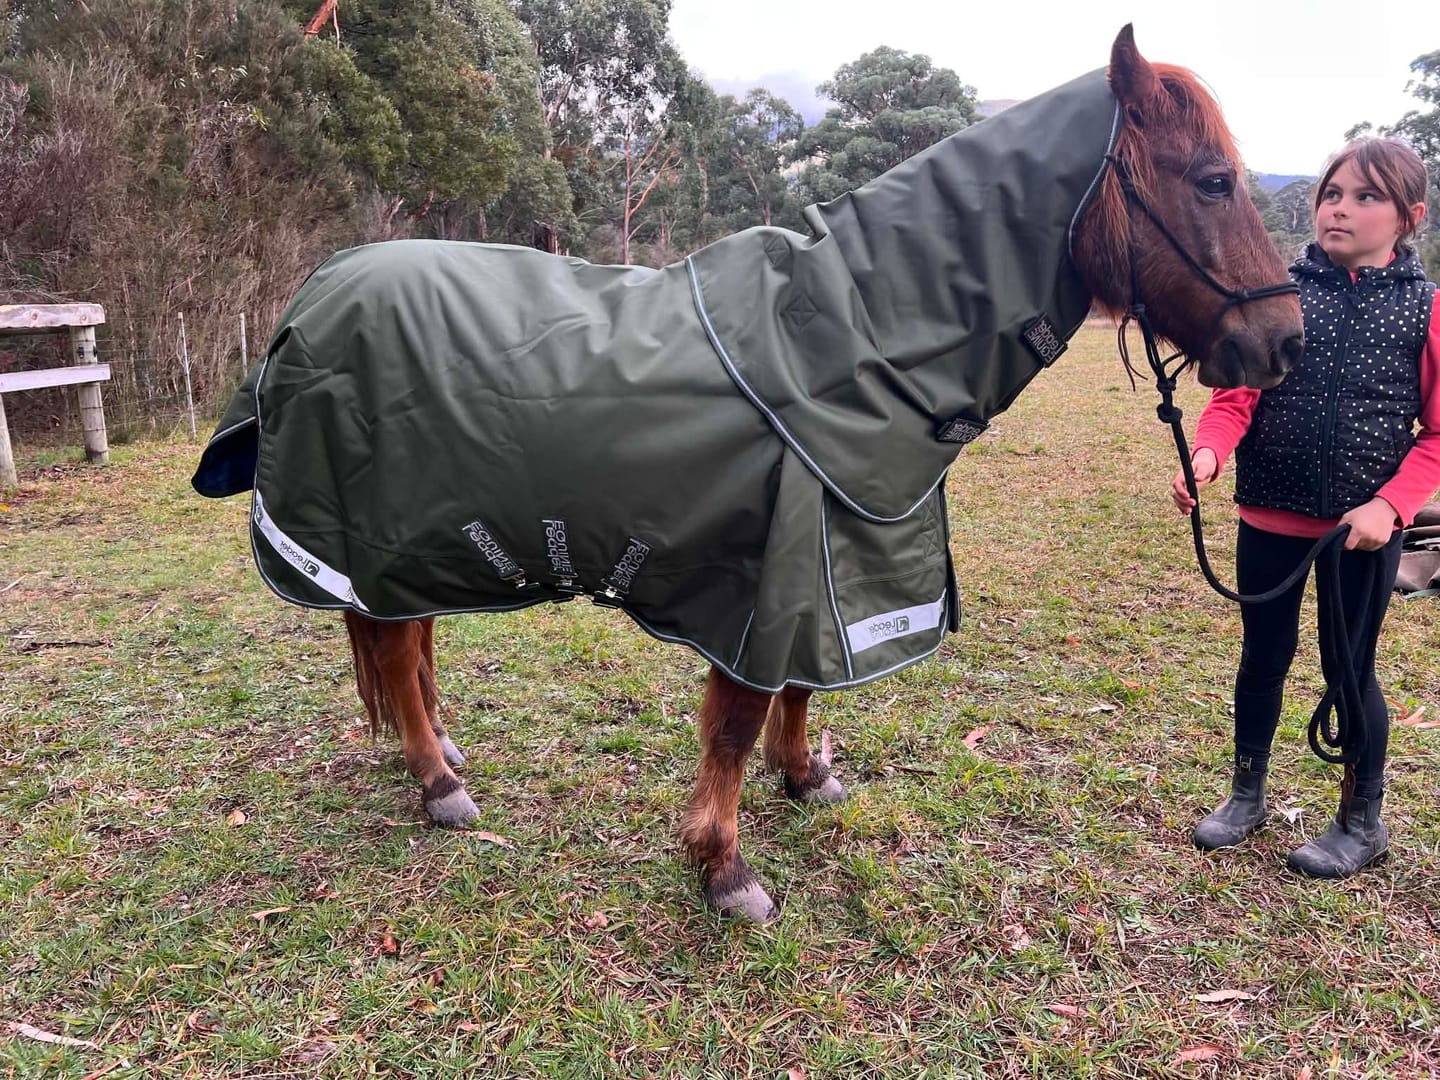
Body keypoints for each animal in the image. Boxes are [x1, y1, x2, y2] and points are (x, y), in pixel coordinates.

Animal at [193, 26, 1304, 922]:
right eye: (1212, 179)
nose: (1285, 342)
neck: (853, 336)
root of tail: (310, 296)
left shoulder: (834, 553)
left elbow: (802, 688)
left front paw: (804, 777)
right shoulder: (760, 575)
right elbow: (734, 722)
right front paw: (724, 868)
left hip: (412, 543)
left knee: (406, 646)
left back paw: (444, 756)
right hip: (374, 539)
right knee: (393, 653)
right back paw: (439, 786)